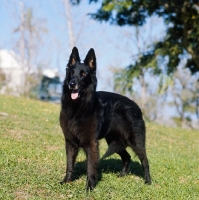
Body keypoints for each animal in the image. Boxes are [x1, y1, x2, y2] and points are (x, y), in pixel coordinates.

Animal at [59, 47, 152, 191]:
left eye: (83, 74)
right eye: (72, 73)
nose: (71, 84)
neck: (79, 107)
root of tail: (137, 106)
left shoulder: (91, 143)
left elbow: (90, 167)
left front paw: (90, 187)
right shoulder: (70, 142)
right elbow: (69, 164)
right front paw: (67, 181)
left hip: (135, 142)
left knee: (145, 160)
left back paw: (148, 181)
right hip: (114, 141)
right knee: (127, 157)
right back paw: (122, 175)